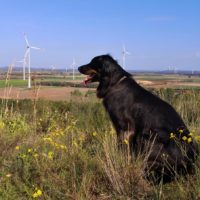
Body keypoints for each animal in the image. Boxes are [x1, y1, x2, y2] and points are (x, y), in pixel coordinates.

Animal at [78, 54, 198, 183]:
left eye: (93, 62)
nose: (78, 68)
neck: (115, 84)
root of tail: (189, 163)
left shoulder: (126, 128)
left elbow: (123, 150)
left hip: (147, 134)